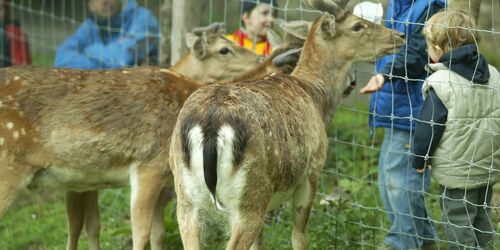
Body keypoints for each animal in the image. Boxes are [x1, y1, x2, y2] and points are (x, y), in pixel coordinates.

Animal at [168, 0, 406, 249]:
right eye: (357, 25)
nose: (399, 36)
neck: (315, 96)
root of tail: (211, 123)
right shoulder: (312, 172)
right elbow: (299, 236)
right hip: (249, 196)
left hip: (186, 198)